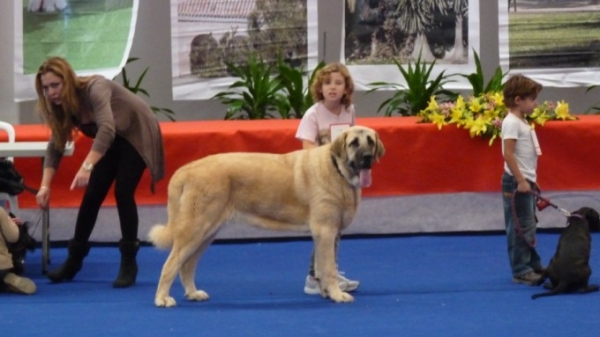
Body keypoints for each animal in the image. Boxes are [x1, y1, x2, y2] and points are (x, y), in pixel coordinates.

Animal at [148, 124, 386, 306]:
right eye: (353, 143)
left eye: (370, 142)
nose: (367, 158)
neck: (337, 169)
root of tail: (186, 170)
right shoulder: (325, 231)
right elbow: (329, 269)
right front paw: (337, 295)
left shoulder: (329, 235)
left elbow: (322, 267)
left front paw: (328, 293)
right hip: (195, 229)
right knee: (171, 264)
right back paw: (162, 298)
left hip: (207, 232)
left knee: (186, 265)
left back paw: (193, 293)